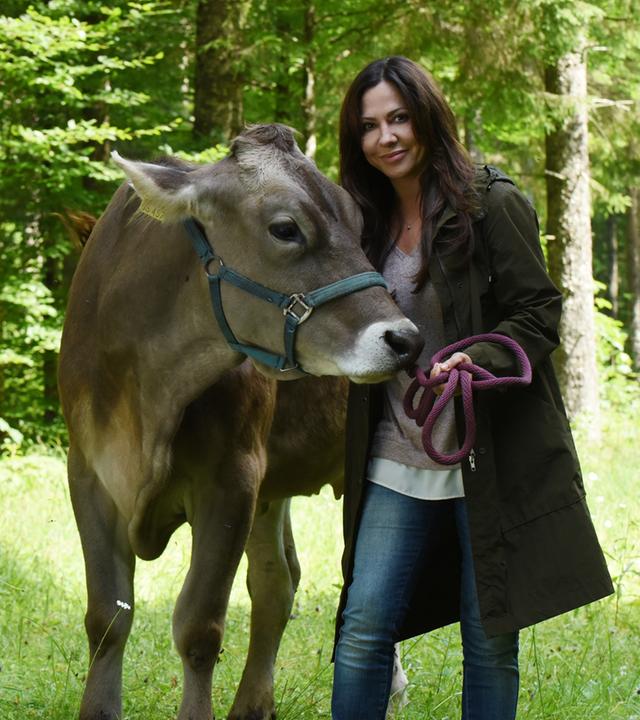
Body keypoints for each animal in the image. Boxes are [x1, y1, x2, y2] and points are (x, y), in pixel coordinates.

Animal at [58, 124, 421, 720]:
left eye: (358, 223)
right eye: (285, 228)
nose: (405, 339)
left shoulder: (233, 476)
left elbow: (198, 625)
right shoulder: (88, 471)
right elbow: (107, 616)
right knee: (279, 581)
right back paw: (254, 703)